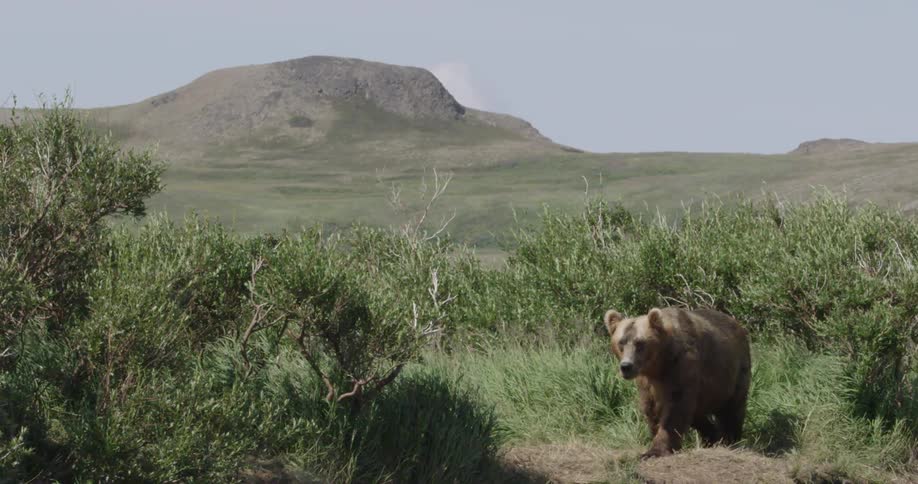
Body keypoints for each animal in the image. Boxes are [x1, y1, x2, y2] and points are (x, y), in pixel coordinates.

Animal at [603, 306, 751, 459]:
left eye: (640, 343)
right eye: (621, 342)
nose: (626, 366)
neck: (659, 365)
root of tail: (738, 325)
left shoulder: (681, 366)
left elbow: (675, 407)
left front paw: (655, 451)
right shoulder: (646, 381)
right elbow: (651, 408)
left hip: (732, 373)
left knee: (732, 408)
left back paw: (730, 439)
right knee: (698, 414)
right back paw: (711, 437)